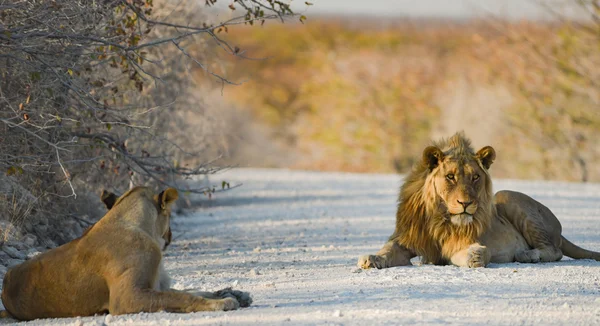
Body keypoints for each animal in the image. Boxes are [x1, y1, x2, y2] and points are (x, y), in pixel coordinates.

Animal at [1, 187, 250, 320]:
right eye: (169, 216)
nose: (171, 235)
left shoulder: (156, 285)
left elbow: (192, 290)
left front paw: (235, 294)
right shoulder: (126, 298)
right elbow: (183, 297)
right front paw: (224, 302)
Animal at [358, 131, 596, 268]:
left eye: (475, 177)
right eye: (450, 177)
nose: (465, 203)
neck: (439, 217)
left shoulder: (455, 245)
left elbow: (468, 254)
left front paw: (476, 256)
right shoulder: (407, 239)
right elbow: (388, 249)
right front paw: (371, 258)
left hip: (507, 197)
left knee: (554, 251)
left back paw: (528, 255)